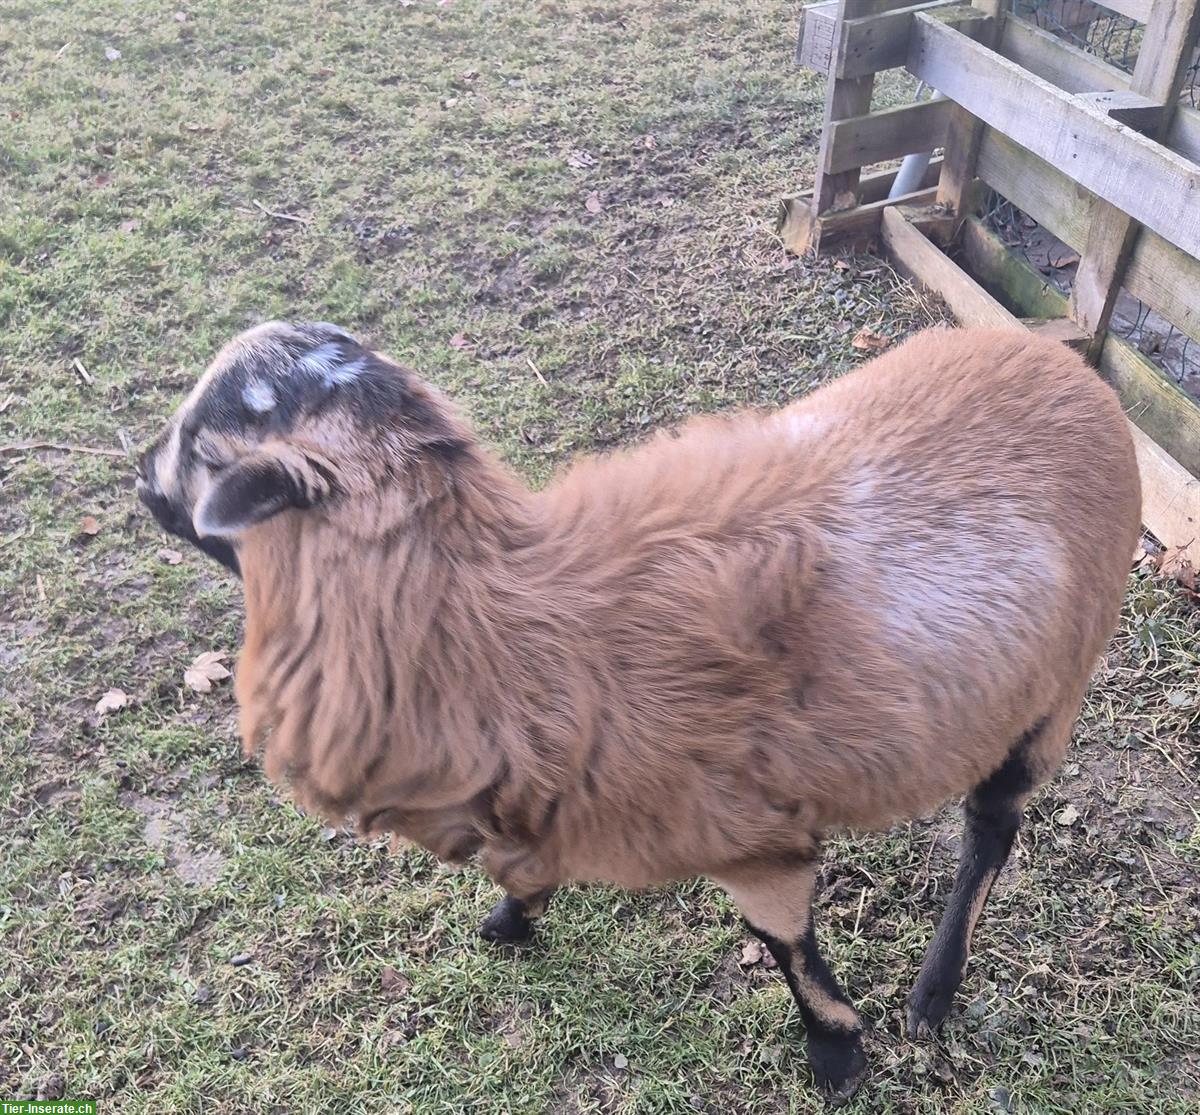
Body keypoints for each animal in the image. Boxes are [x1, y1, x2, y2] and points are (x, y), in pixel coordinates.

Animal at [136, 321, 1137, 1094]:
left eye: (202, 448)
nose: (139, 473)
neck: (493, 623)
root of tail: (1065, 363)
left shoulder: (748, 836)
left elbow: (783, 943)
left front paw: (838, 1054)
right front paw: (509, 920)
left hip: (1050, 693)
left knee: (989, 835)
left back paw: (934, 993)